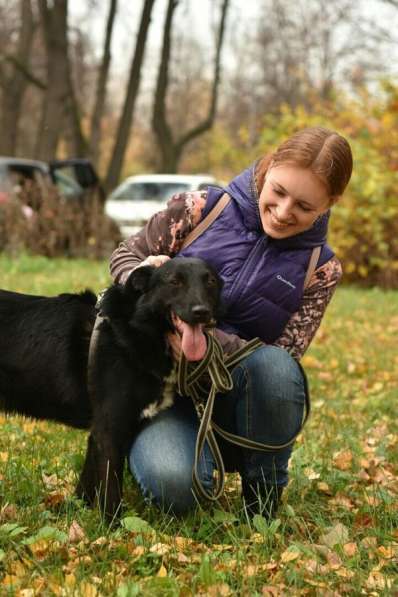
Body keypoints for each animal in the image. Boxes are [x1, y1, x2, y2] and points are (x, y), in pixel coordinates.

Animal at [0, 258, 221, 520]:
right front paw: (113, 528)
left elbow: (87, 486)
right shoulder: (110, 430)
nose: (202, 312)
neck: (134, 331)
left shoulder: (101, 433)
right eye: (175, 281)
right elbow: (112, 493)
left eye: (210, 280)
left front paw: (77, 514)